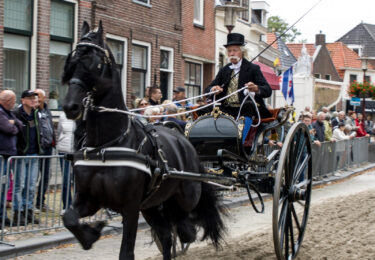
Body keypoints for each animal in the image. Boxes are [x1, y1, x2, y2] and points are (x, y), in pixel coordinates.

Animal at [61, 20, 226, 260]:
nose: (70, 106)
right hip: (151, 206)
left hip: (185, 197)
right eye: (71, 63)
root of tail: (184, 140)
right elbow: (68, 217)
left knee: (186, 225)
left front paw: (94, 231)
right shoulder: (88, 198)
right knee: (167, 234)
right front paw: (93, 232)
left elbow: (126, 252)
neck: (106, 146)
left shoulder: (130, 207)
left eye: (95, 64)